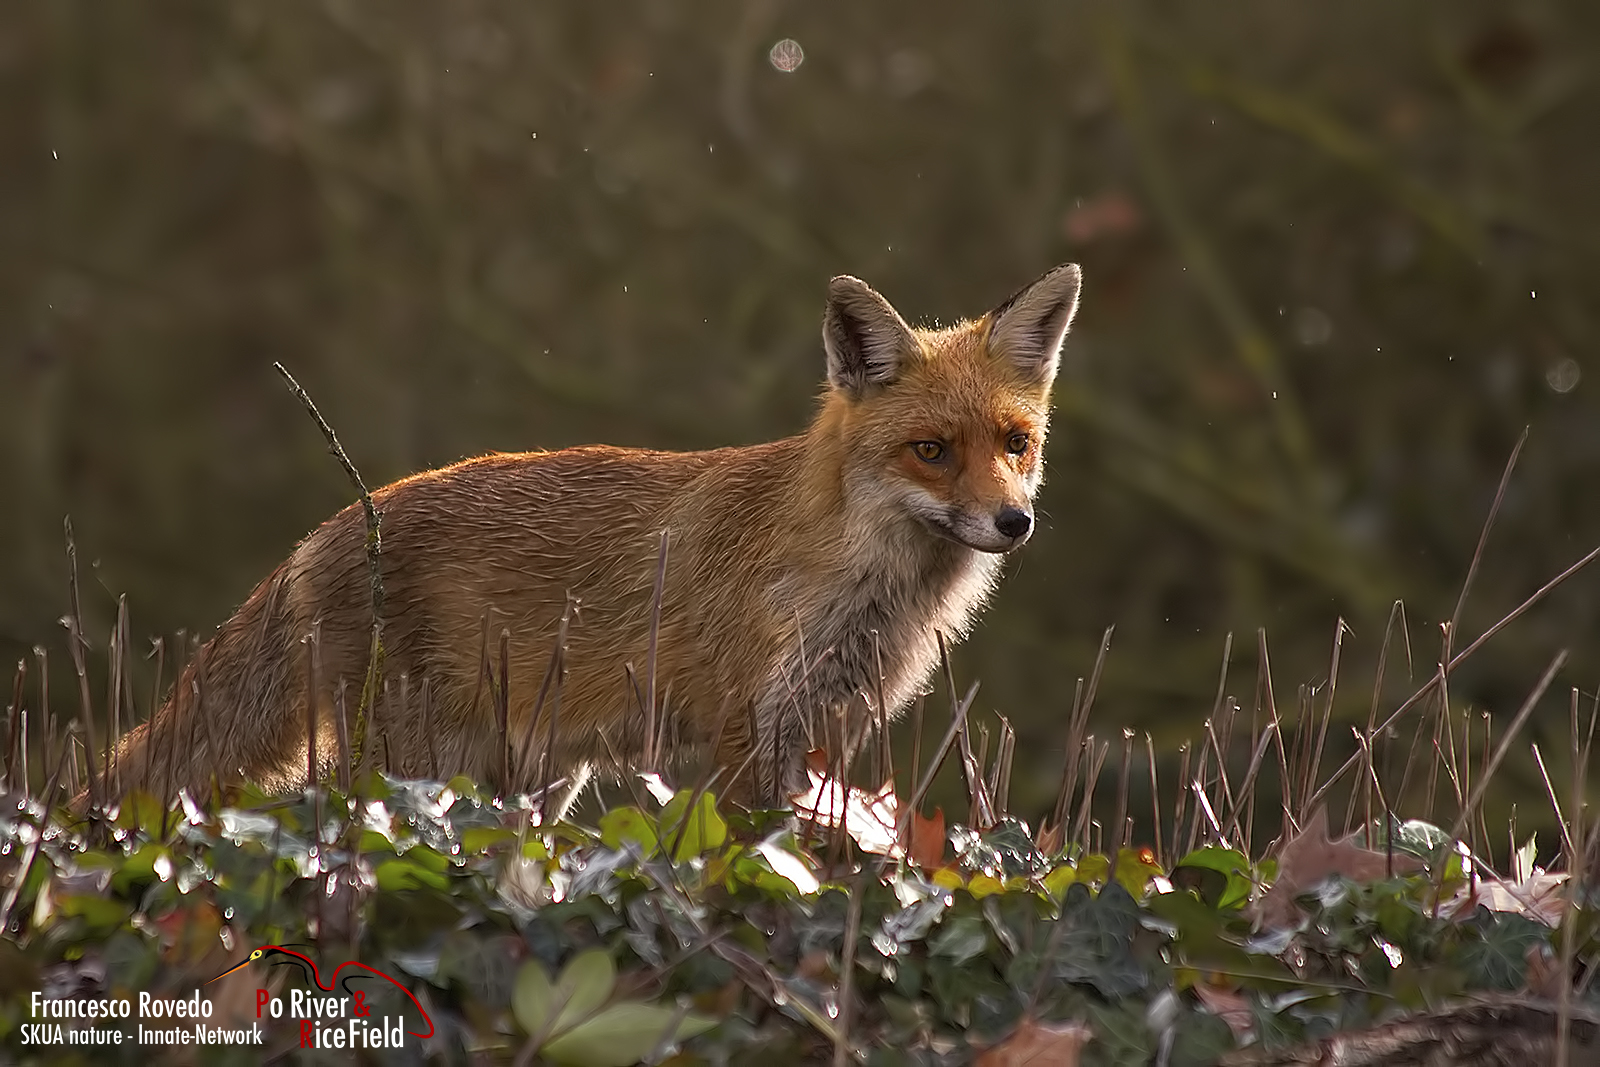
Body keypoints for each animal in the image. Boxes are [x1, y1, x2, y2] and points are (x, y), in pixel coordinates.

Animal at [103, 263, 1083, 810]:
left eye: (1015, 443)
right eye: (931, 451)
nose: (1015, 521)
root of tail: (335, 523)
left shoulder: (821, 731)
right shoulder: (745, 724)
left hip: (529, 773)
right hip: (413, 759)